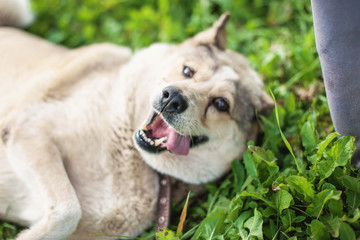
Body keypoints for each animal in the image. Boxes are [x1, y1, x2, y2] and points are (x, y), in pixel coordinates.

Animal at [0, 0, 272, 239]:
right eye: (187, 71)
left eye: (221, 104)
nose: (172, 98)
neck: (134, 155)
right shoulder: (28, 129)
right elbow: (68, 210)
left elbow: (67, 213)